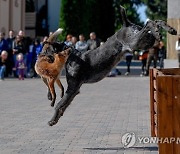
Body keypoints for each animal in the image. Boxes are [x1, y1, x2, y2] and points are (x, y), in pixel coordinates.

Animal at [47, 6, 176, 126]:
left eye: (47, 49)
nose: (43, 57)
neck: (71, 56)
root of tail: (126, 25)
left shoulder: (72, 88)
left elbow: (59, 104)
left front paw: (52, 120)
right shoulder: (75, 90)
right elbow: (64, 104)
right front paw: (56, 118)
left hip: (135, 41)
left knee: (149, 24)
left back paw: (159, 30)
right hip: (145, 42)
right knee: (155, 24)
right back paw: (169, 29)